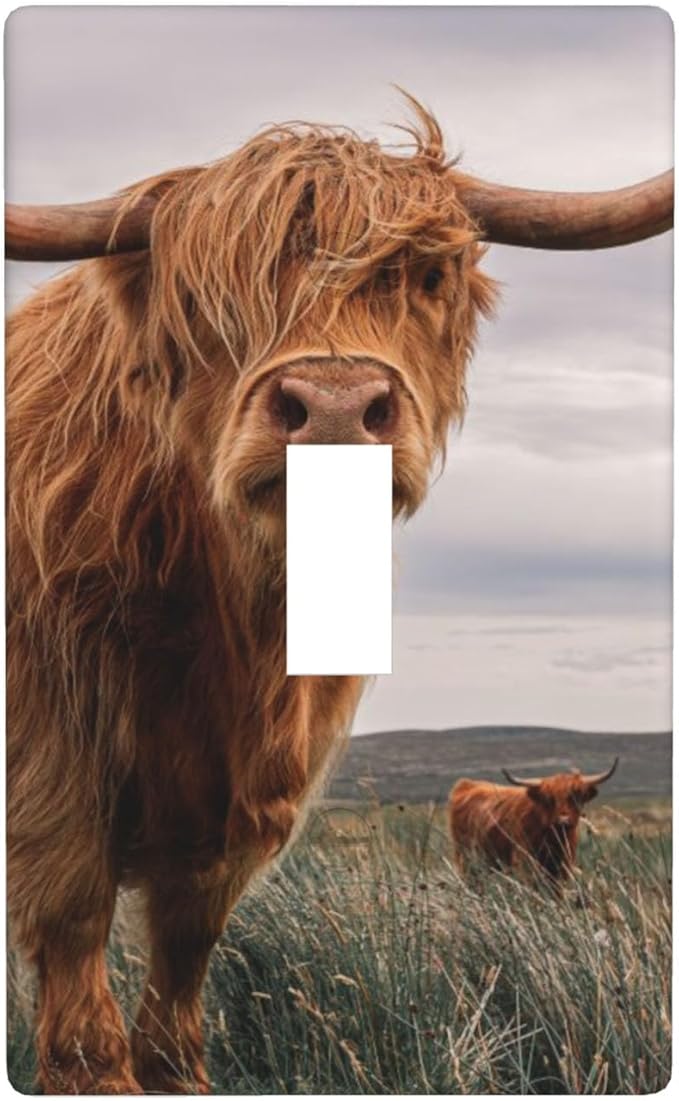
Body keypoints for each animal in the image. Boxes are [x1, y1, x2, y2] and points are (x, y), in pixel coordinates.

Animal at [448, 759, 619, 887]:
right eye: (549, 800)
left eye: (576, 797)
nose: (563, 821)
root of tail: (466, 784)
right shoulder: (525, 866)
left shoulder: (562, 870)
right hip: (466, 858)